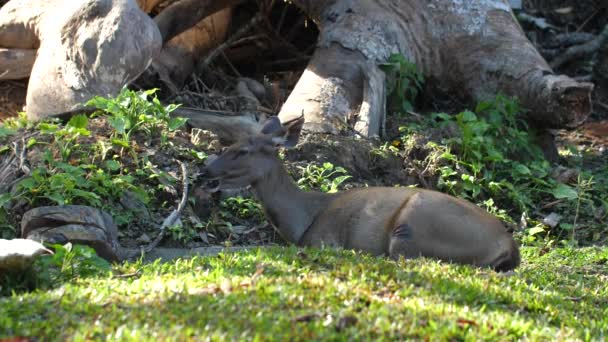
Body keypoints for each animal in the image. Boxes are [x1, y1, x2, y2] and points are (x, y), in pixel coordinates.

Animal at [202, 116, 520, 272]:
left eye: (242, 151)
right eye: (229, 144)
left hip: (414, 227)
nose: (206, 172)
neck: (303, 218)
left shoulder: (323, 240)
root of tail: (508, 245)